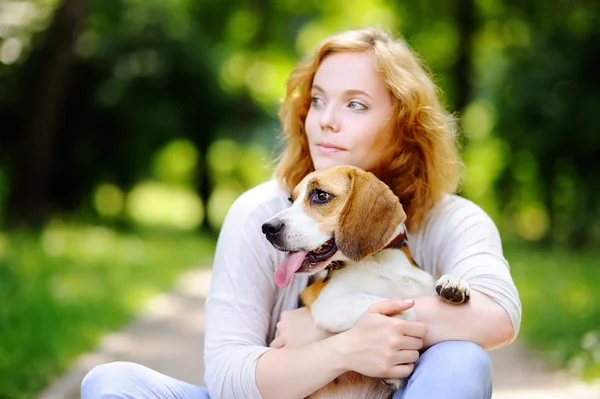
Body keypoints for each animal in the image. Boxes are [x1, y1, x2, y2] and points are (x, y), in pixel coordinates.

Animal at [260, 166, 472, 399]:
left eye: (321, 195)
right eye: (291, 199)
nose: (267, 228)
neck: (379, 260)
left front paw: (454, 284)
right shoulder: (330, 303)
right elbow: (406, 312)